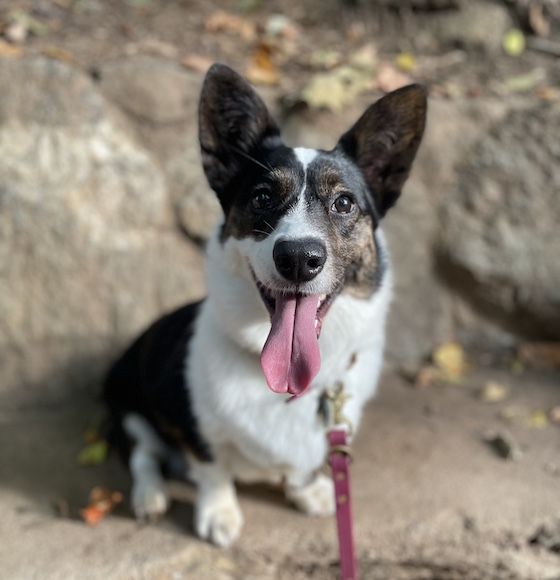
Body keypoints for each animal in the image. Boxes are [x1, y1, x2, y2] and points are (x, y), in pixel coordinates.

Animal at [103, 63, 426, 548]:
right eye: (261, 198)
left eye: (344, 203)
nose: (298, 258)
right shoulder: (190, 424)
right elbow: (212, 467)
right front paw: (219, 513)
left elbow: (298, 468)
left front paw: (307, 491)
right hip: (127, 403)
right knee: (142, 454)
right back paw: (150, 496)